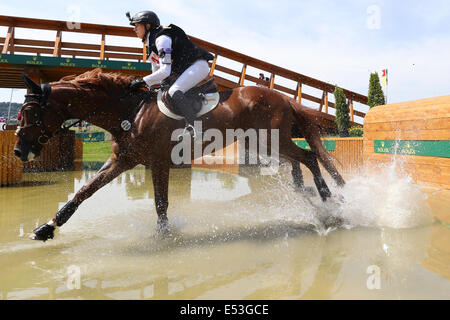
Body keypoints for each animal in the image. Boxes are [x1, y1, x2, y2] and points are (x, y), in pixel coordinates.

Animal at [13, 68, 344, 242]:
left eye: (29, 111)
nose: (18, 151)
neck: (129, 113)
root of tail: (284, 97)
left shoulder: (158, 163)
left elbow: (161, 204)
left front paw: (163, 239)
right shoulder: (123, 161)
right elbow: (84, 191)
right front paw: (46, 228)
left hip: (270, 140)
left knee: (308, 157)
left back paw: (329, 202)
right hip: (264, 143)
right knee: (297, 160)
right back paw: (305, 192)